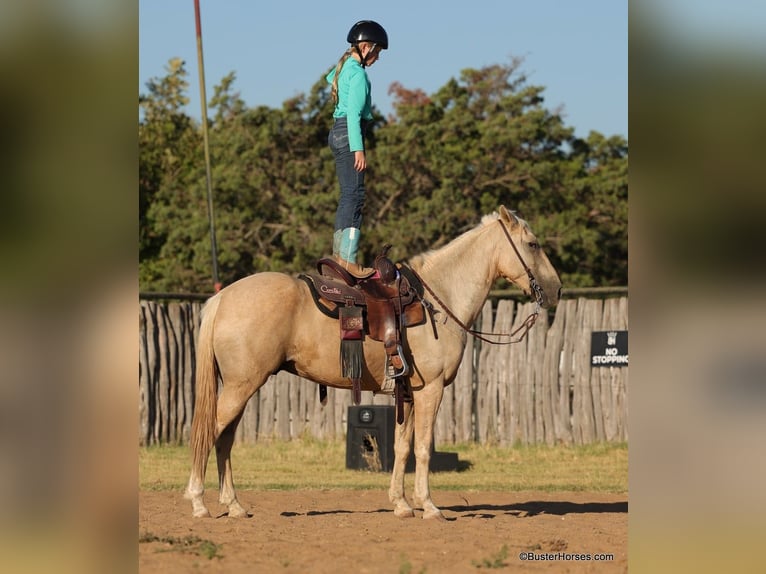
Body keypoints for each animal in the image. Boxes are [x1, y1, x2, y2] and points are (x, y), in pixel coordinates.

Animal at [184, 206, 562, 520]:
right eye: (532, 244)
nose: (556, 289)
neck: (438, 298)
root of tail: (223, 297)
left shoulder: (409, 392)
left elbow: (402, 446)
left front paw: (402, 504)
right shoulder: (431, 390)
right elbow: (423, 448)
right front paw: (429, 506)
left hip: (240, 387)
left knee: (224, 439)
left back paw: (234, 506)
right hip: (241, 387)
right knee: (209, 433)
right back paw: (199, 502)